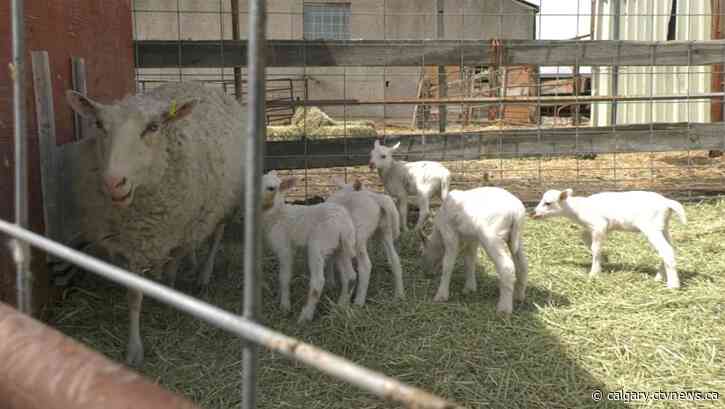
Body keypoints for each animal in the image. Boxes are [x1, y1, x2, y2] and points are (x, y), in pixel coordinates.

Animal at [65, 82, 244, 366]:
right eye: (100, 125)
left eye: (152, 127)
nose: (113, 183)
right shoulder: (124, 244)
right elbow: (133, 295)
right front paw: (134, 347)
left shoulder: (179, 230)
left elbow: (172, 266)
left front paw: (168, 292)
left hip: (227, 200)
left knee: (216, 235)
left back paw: (203, 276)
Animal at [261, 171, 358, 322]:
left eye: (271, 188)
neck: (277, 214)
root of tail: (342, 224)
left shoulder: (284, 247)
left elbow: (284, 277)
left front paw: (284, 306)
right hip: (342, 247)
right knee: (351, 277)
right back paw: (340, 307)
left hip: (318, 246)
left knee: (318, 282)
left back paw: (306, 316)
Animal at [420, 187, 528, 315]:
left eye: (422, 253)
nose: (426, 273)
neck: (438, 234)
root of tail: (516, 211)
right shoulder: (472, 239)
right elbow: (470, 261)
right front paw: (470, 287)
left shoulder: (450, 233)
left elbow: (448, 264)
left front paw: (442, 295)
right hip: (516, 237)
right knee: (522, 264)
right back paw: (519, 296)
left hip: (491, 236)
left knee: (507, 267)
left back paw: (504, 309)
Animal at [531, 189, 686, 289]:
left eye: (548, 203)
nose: (533, 213)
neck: (578, 209)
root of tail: (666, 203)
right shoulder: (599, 227)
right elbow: (584, 237)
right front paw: (605, 258)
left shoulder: (599, 224)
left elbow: (595, 248)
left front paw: (594, 273)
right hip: (663, 227)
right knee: (670, 249)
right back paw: (659, 277)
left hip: (651, 227)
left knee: (666, 250)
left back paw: (673, 285)